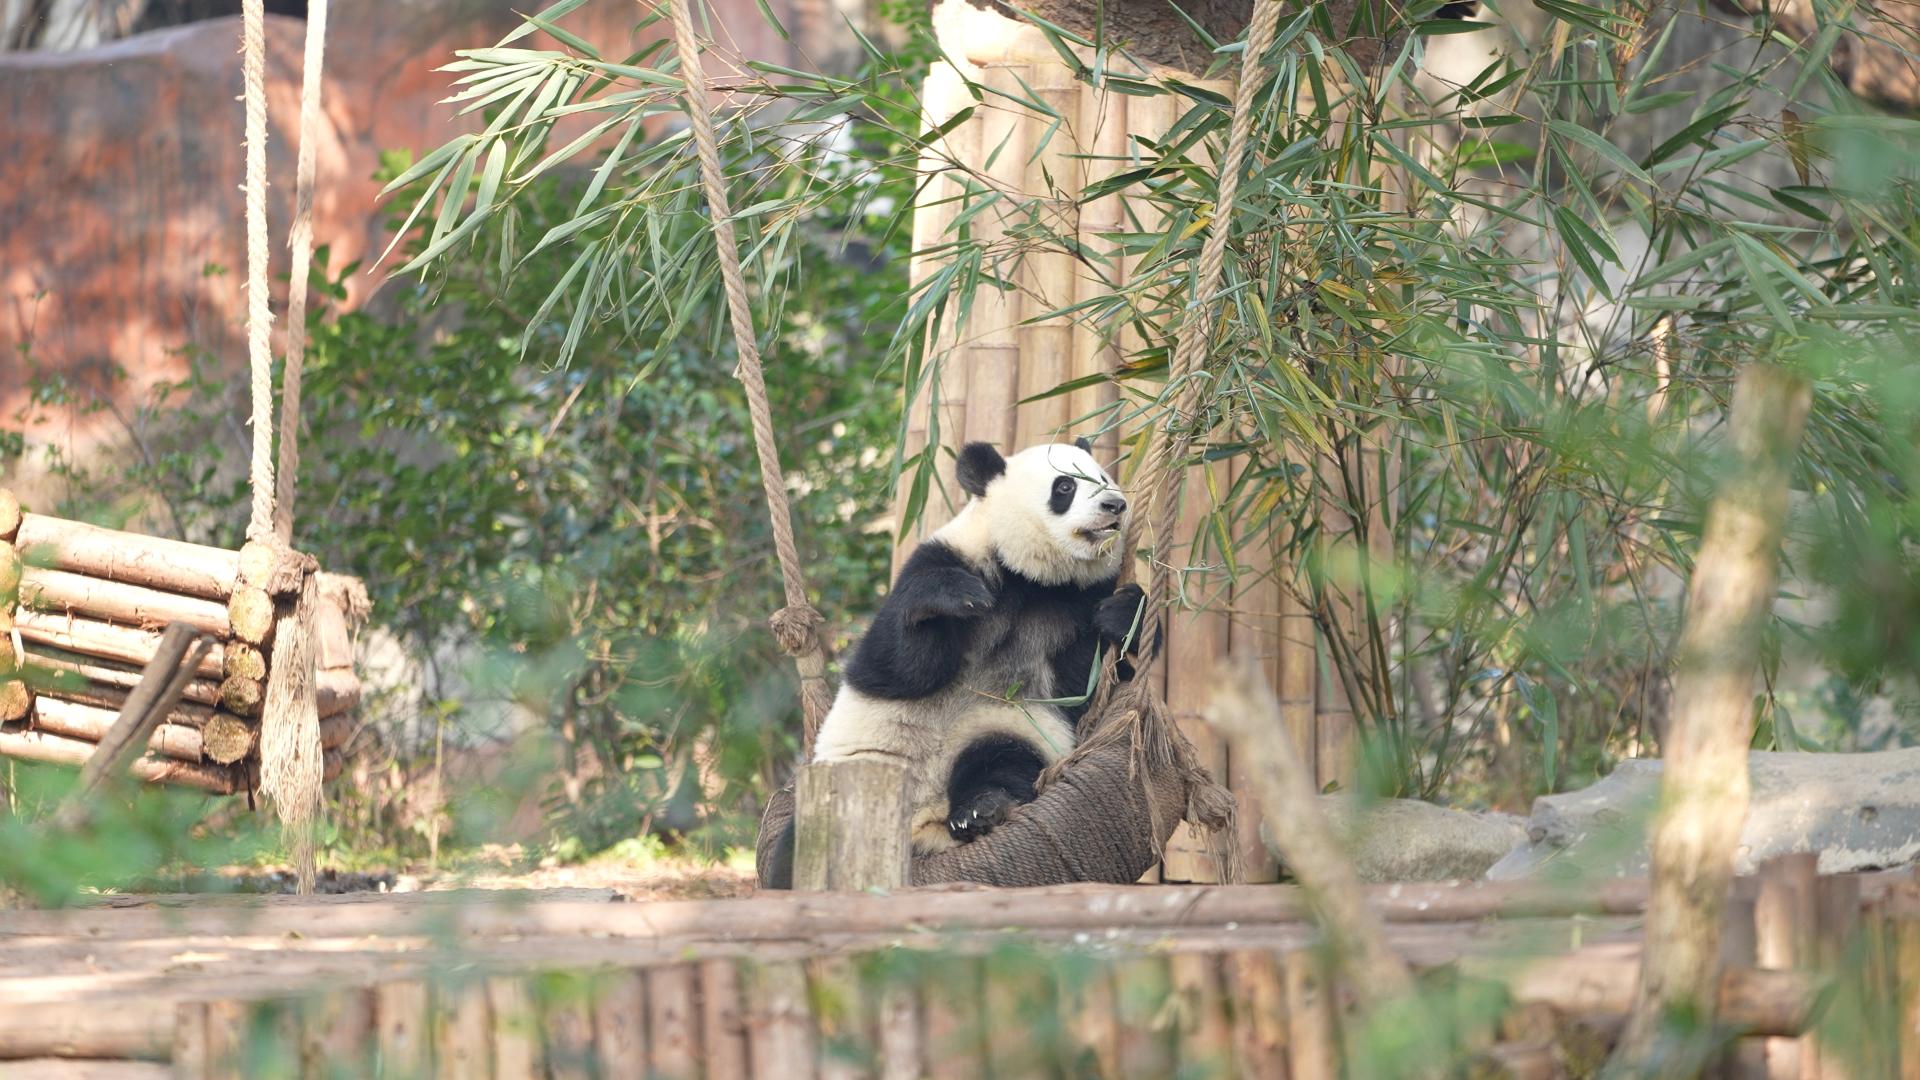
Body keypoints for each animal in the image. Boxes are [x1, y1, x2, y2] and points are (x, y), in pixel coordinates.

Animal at [764, 432, 1152, 880]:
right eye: (1065, 486)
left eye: (1104, 477)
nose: (1115, 505)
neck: (1033, 580)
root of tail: (921, 825)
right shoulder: (946, 558)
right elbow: (898, 665)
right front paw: (957, 596)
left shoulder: (1080, 603)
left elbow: (1089, 680)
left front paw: (1124, 615)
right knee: (792, 852)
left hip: (998, 725)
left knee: (1000, 760)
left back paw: (979, 811)